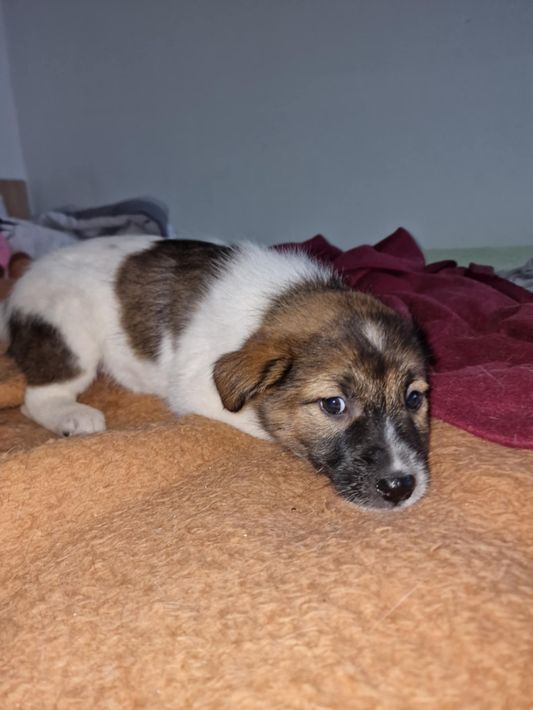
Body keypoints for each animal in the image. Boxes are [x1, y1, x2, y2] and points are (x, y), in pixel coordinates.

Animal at [2, 236, 430, 510]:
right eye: (334, 405)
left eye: (413, 398)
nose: (400, 487)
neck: (281, 302)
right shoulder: (198, 390)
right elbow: (262, 423)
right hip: (70, 328)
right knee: (37, 397)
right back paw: (72, 416)